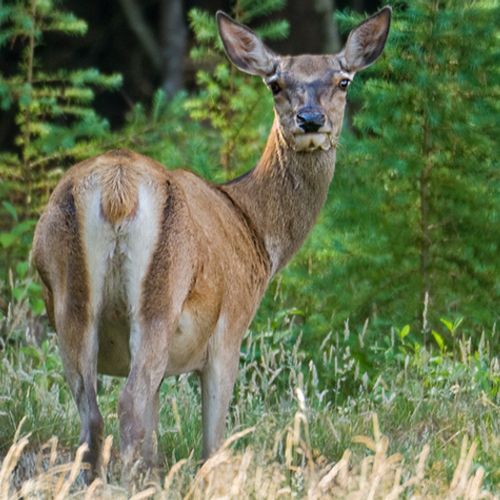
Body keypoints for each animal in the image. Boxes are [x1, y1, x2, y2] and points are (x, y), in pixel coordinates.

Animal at [33, 7, 392, 482]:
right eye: (275, 83)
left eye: (343, 80)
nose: (311, 120)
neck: (255, 231)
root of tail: (116, 185)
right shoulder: (231, 325)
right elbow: (213, 444)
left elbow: (155, 436)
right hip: (160, 295)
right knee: (127, 403)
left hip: (69, 300)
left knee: (92, 416)